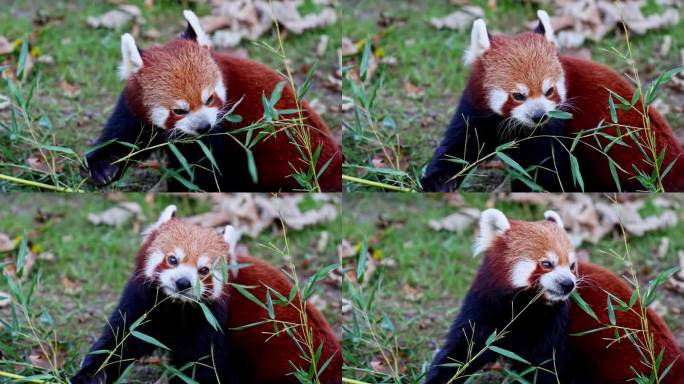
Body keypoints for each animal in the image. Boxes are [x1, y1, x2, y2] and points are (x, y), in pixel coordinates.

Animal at [71, 206, 340, 384]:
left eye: (203, 270)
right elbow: (120, 340)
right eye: (172, 259)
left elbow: (201, 367)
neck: (176, 307)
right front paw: (91, 374)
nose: (183, 283)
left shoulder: (209, 322)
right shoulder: (143, 302)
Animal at [86, 10, 342, 192]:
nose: (203, 126)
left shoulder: (220, 134)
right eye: (179, 110)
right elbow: (121, 138)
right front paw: (103, 168)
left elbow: (202, 172)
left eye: (209, 99)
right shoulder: (135, 109)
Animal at [422, 9, 684, 192]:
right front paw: (438, 181)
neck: (518, 127)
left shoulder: (555, 130)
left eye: (549, 91)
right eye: (518, 95)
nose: (539, 115)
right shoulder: (478, 109)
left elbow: (547, 172)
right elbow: (461, 144)